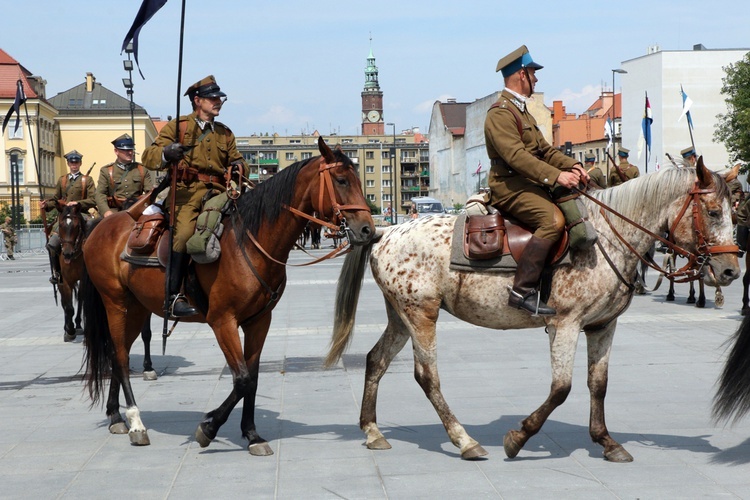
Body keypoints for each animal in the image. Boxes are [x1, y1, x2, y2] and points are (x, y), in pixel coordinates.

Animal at [82, 137, 376, 454]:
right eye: (342, 180)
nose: (367, 230)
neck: (250, 241)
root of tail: (103, 224)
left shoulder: (259, 321)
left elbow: (253, 378)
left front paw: (251, 434)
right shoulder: (223, 321)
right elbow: (242, 379)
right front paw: (209, 427)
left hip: (137, 308)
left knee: (117, 354)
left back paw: (116, 416)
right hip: (116, 303)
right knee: (121, 357)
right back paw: (136, 423)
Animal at [324, 159, 740, 460]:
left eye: (735, 212)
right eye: (713, 212)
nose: (731, 270)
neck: (606, 237)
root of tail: (386, 231)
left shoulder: (603, 326)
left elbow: (598, 385)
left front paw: (606, 441)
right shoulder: (565, 325)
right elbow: (561, 388)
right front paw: (519, 437)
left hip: (401, 315)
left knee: (376, 360)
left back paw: (373, 431)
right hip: (421, 313)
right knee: (427, 376)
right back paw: (464, 441)